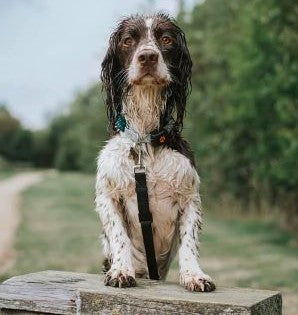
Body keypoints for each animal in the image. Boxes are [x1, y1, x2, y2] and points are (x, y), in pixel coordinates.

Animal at [96, 13, 215, 292]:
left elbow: (189, 242)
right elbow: (118, 235)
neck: (144, 143)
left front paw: (194, 275)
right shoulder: (107, 195)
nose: (148, 56)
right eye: (128, 40)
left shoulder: (190, 197)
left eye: (166, 39)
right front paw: (121, 271)